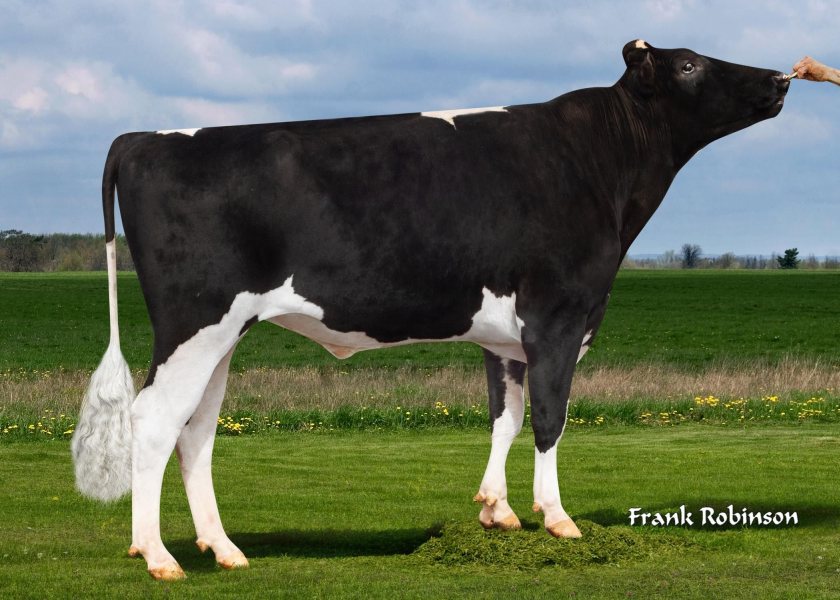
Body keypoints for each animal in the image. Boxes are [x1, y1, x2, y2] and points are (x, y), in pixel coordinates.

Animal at [71, 40, 790, 580]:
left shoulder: (505, 338)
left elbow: (505, 417)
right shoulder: (558, 317)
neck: (598, 163)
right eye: (689, 64)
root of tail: (144, 138)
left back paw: (223, 550)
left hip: (223, 333)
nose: (779, 78)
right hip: (195, 322)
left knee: (196, 430)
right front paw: (557, 520)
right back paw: (157, 556)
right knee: (154, 419)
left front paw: (497, 512)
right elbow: (549, 419)